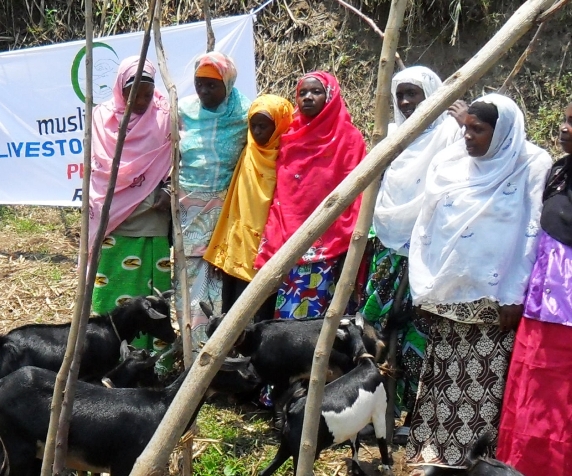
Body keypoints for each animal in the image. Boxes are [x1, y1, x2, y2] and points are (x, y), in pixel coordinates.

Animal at [260, 316, 394, 476]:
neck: (365, 363)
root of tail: (291, 412)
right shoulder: (379, 412)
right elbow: (382, 443)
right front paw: (386, 467)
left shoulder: (354, 425)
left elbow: (355, 445)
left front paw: (357, 470)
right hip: (302, 452)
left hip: (286, 446)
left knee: (265, 471)